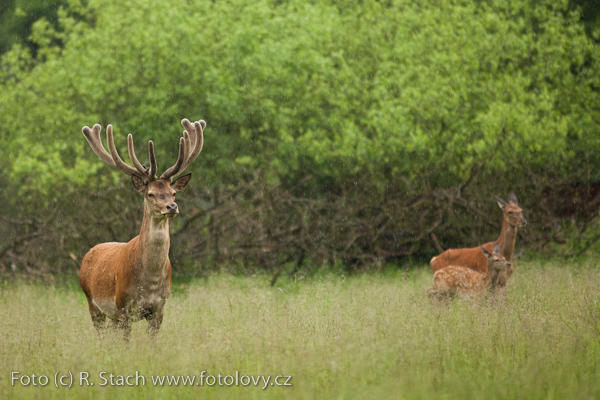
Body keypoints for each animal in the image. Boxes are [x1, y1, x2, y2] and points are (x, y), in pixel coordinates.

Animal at [79, 118, 206, 338]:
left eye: (173, 193)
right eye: (150, 194)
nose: (171, 207)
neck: (150, 281)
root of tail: (89, 252)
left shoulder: (159, 309)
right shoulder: (123, 306)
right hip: (93, 303)